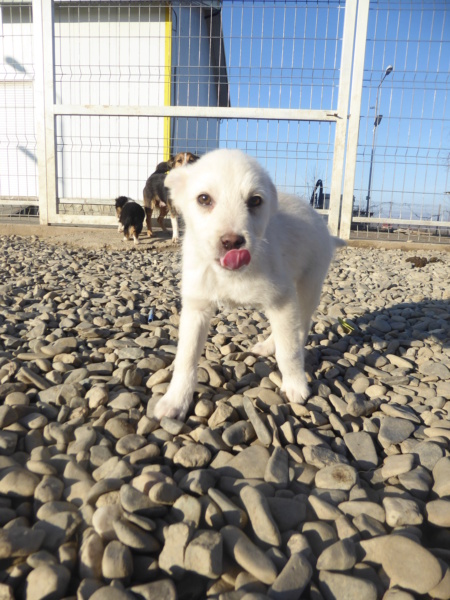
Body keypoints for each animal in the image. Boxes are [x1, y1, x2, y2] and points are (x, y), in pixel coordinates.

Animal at [153, 150, 346, 422]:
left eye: (255, 201)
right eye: (204, 199)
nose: (233, 242)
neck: (229, 275)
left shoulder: (283, 299)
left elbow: (289, 351)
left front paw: (295, 384)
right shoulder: (196, 308)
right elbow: (186, 358)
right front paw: (175, 401)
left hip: (308, 285)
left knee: (301, 326)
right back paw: (267, 345)